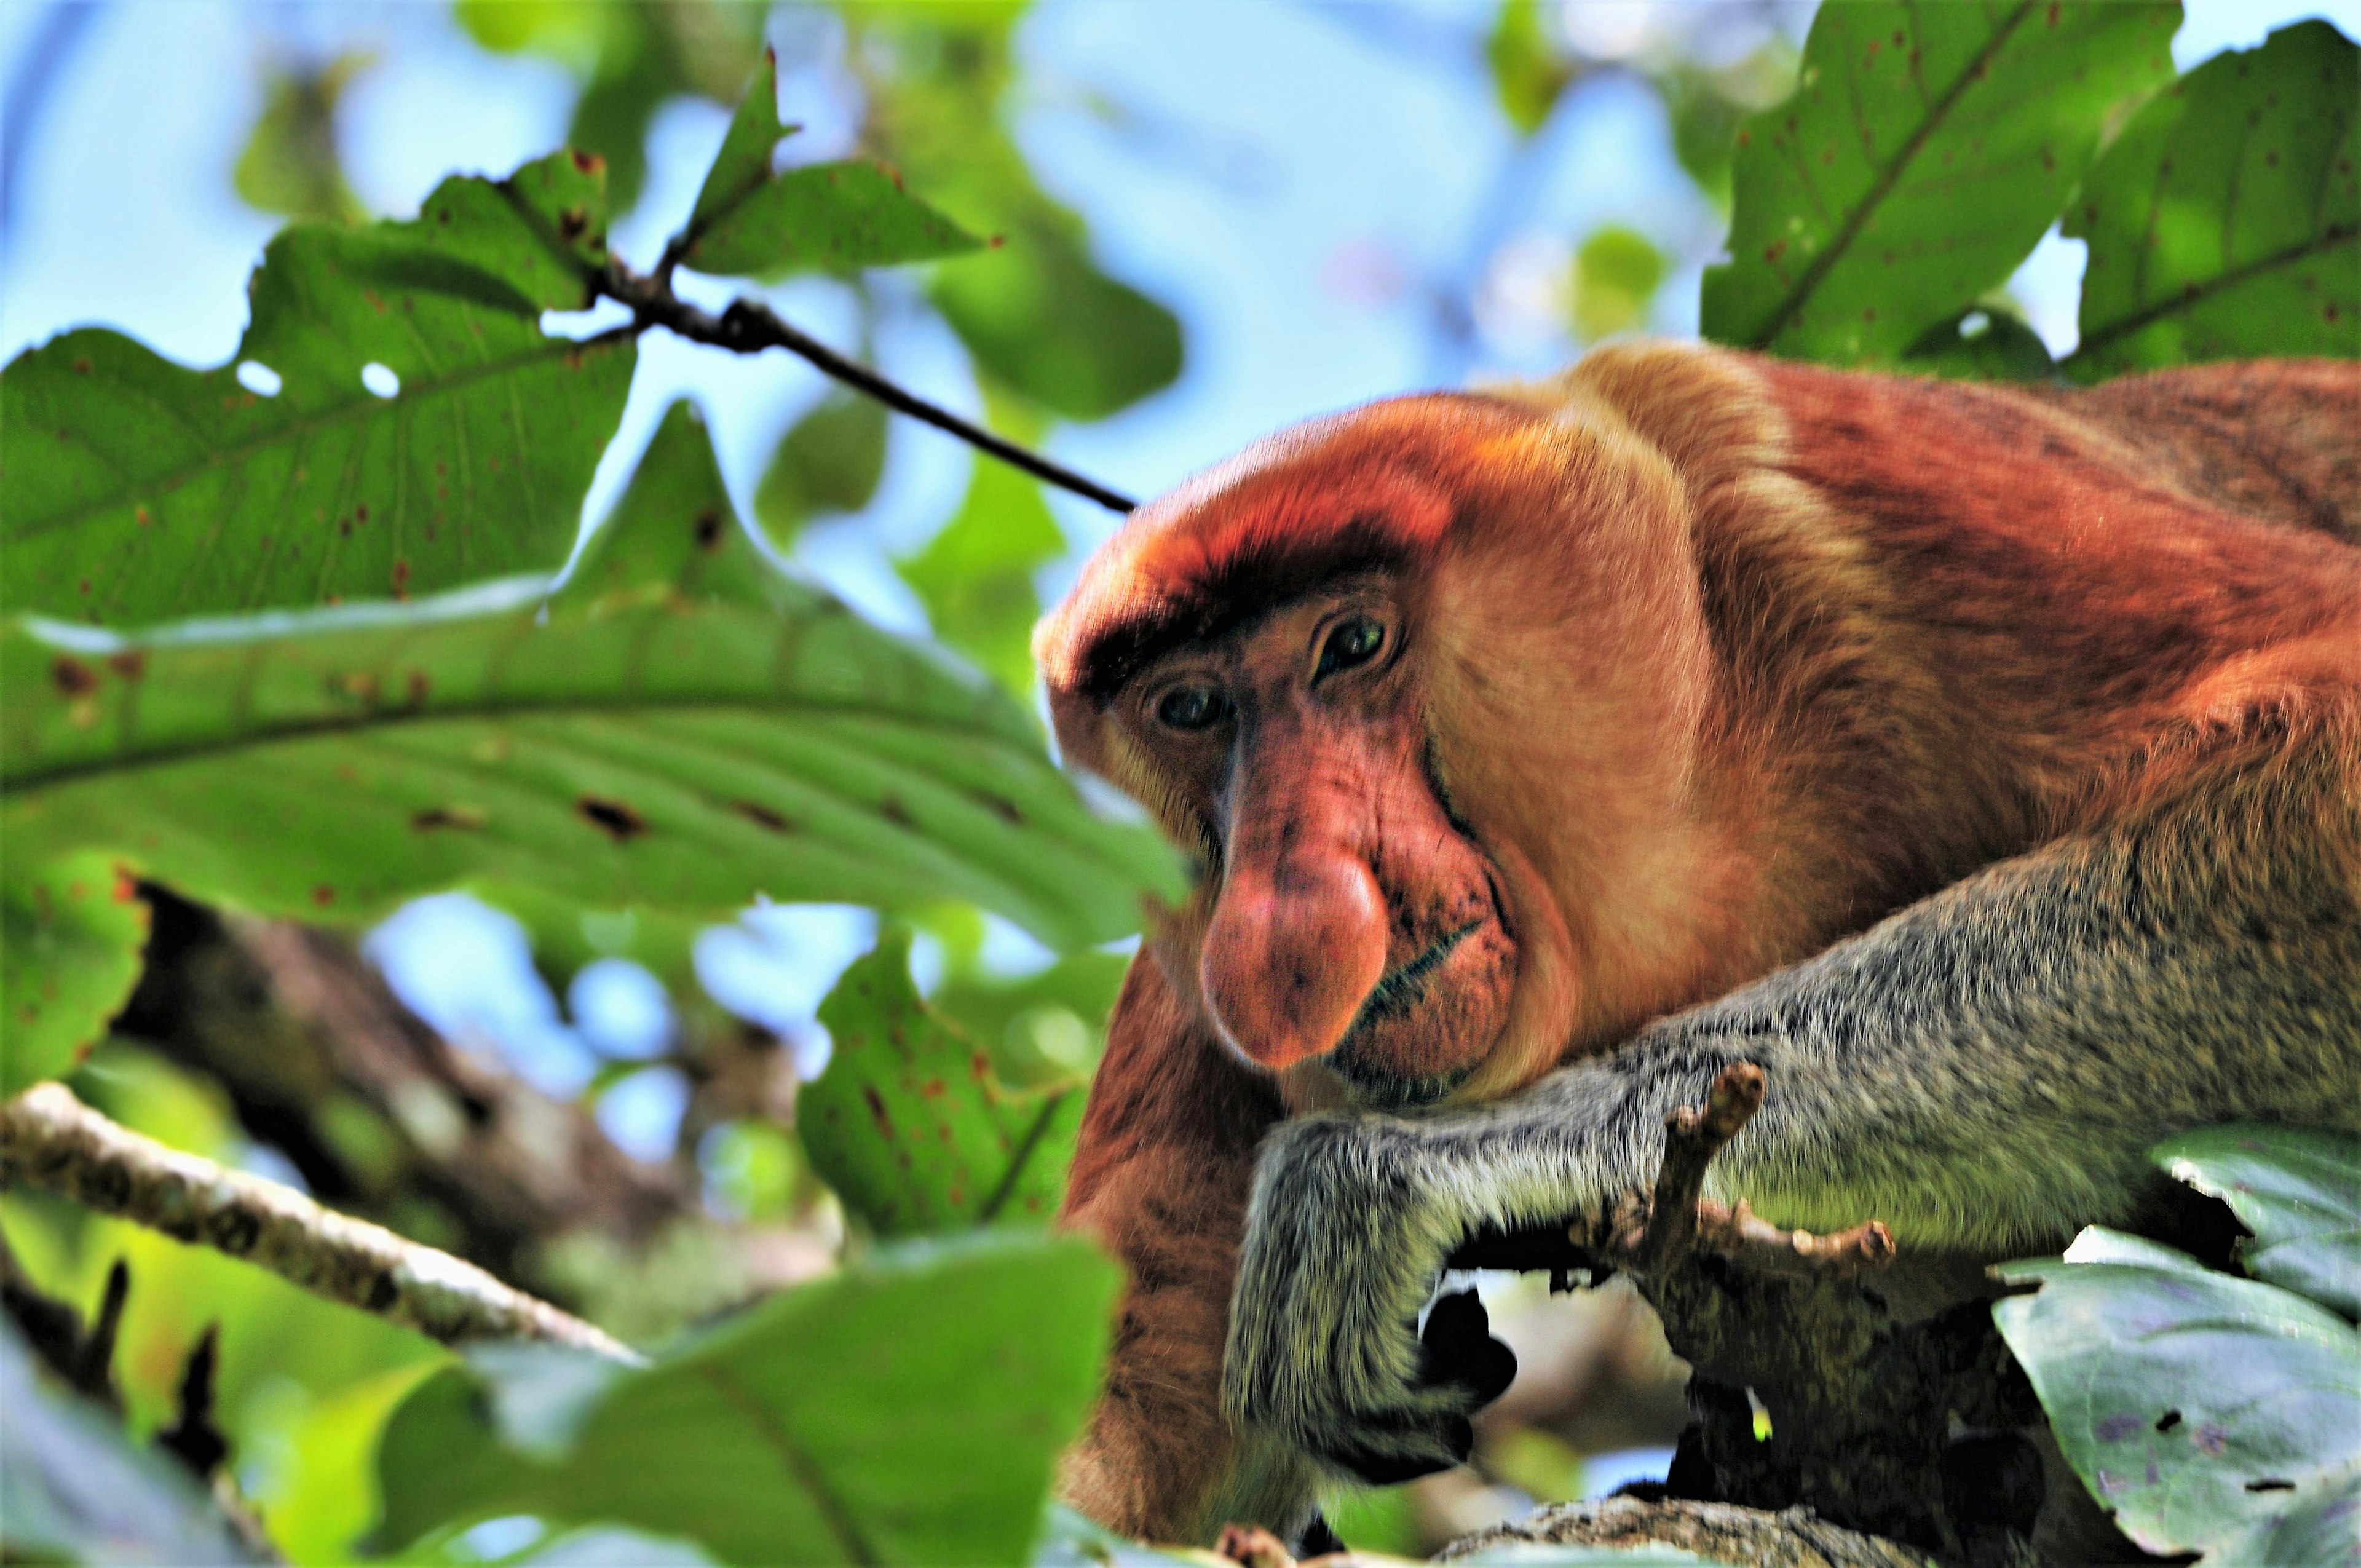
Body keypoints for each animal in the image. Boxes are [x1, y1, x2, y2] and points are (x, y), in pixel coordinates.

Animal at [1038, 342, 2361, 1539]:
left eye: (1353, 644)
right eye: (1192, 709)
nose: (1289, 904)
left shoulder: (1829, 489)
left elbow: (2326, 766)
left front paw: (1386, 1176)